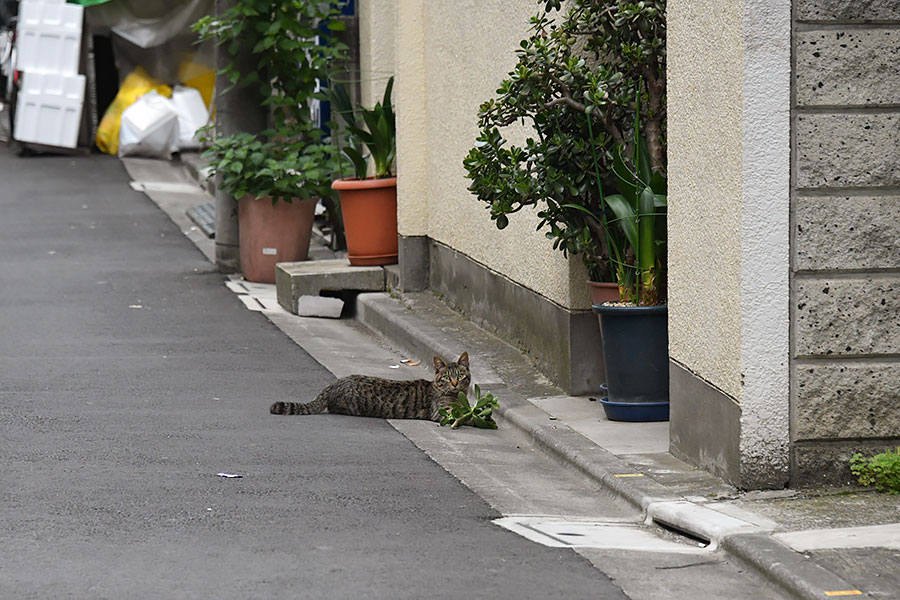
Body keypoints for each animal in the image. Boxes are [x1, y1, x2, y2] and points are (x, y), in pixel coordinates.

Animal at [270, 352, 472, 422]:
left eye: (460, 376)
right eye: (446, 378)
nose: (455, 383)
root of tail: (334, 383)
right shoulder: (443, 412)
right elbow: (463, 417)